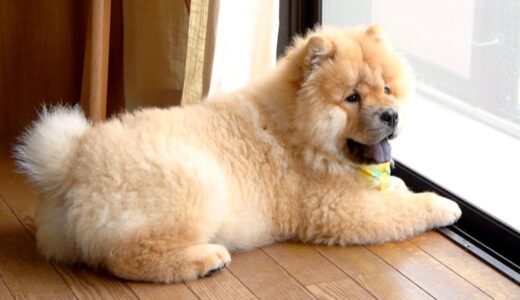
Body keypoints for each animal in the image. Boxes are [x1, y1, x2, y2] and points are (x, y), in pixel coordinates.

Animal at [15, 26, 460, 284]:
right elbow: (405, 210)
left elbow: (393, 189)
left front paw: (398, 182)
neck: (295, 129)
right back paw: (206, 258)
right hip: (198, 181)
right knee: (125, 256)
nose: (391, 115)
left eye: (386, 89)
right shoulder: (340, 211)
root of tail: (71, 166)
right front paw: (442, 204)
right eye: (351, 98)